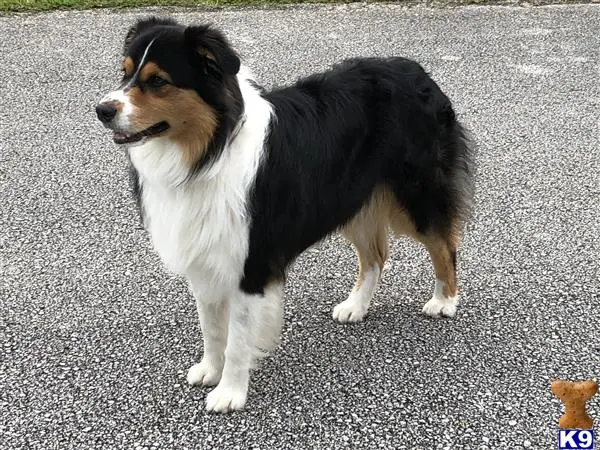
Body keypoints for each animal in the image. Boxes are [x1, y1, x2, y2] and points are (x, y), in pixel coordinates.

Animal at [96, 16, 476, 412]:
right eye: (124, 73)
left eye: (157, 81)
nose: (102, 110)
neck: (208, 152)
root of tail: (415, 69)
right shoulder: (205, 254)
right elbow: (212, 327)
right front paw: (210, 370)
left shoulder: (251, 261)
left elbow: (237, 339)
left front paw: (230, 392)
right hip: (352, 199)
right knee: (376, 255)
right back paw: (356, 305)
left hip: (415, 194)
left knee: (444, 243)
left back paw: (444, 300)